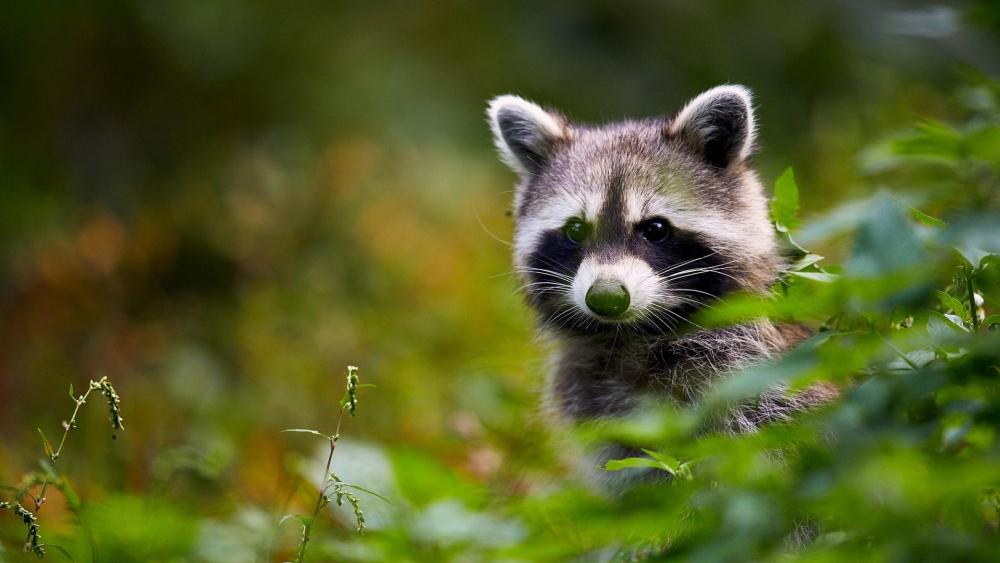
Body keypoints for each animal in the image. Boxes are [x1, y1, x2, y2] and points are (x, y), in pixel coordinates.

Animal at [487, 85, 836, 482]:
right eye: (576, 229)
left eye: (655, 229)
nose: (606, 297)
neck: (633, 336)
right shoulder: (602, 412)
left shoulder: (755, 382)